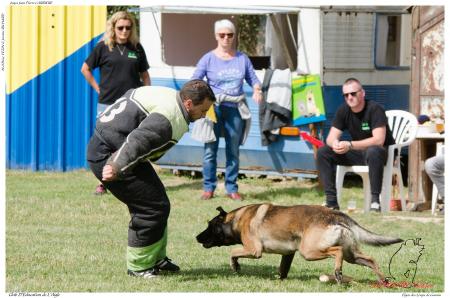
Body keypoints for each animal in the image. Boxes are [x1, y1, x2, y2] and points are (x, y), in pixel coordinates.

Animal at [195, 204, 402, 282]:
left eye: (210, 226)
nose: (196, 237)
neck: (236, 220)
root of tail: (335, 214)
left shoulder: (254, 250)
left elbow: (232, 253)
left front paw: (235, 266)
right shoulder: (288, 254)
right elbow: (282, 270)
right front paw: (280, 280)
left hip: (309, 251)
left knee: (337, 251)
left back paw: (337, 272)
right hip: (352, 255)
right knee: (371, 259)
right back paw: (382, 280)